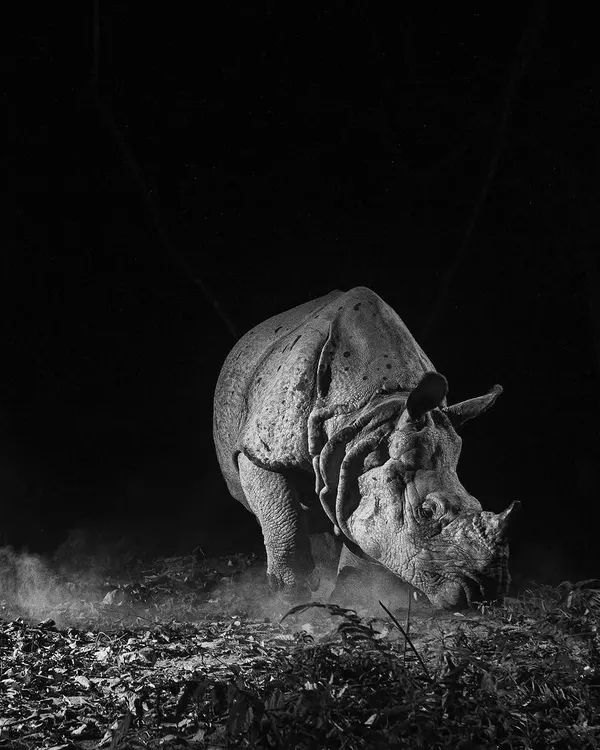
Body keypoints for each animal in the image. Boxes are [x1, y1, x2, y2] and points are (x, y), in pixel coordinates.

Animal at [213, 287, 518, 609]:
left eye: (476, 503)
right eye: (426, 512)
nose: (489, 590)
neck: (373, 417)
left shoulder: (353, 458)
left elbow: (356, 525)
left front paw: (354, 598)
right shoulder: (261, 450)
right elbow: (283, 514)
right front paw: (290, 600)